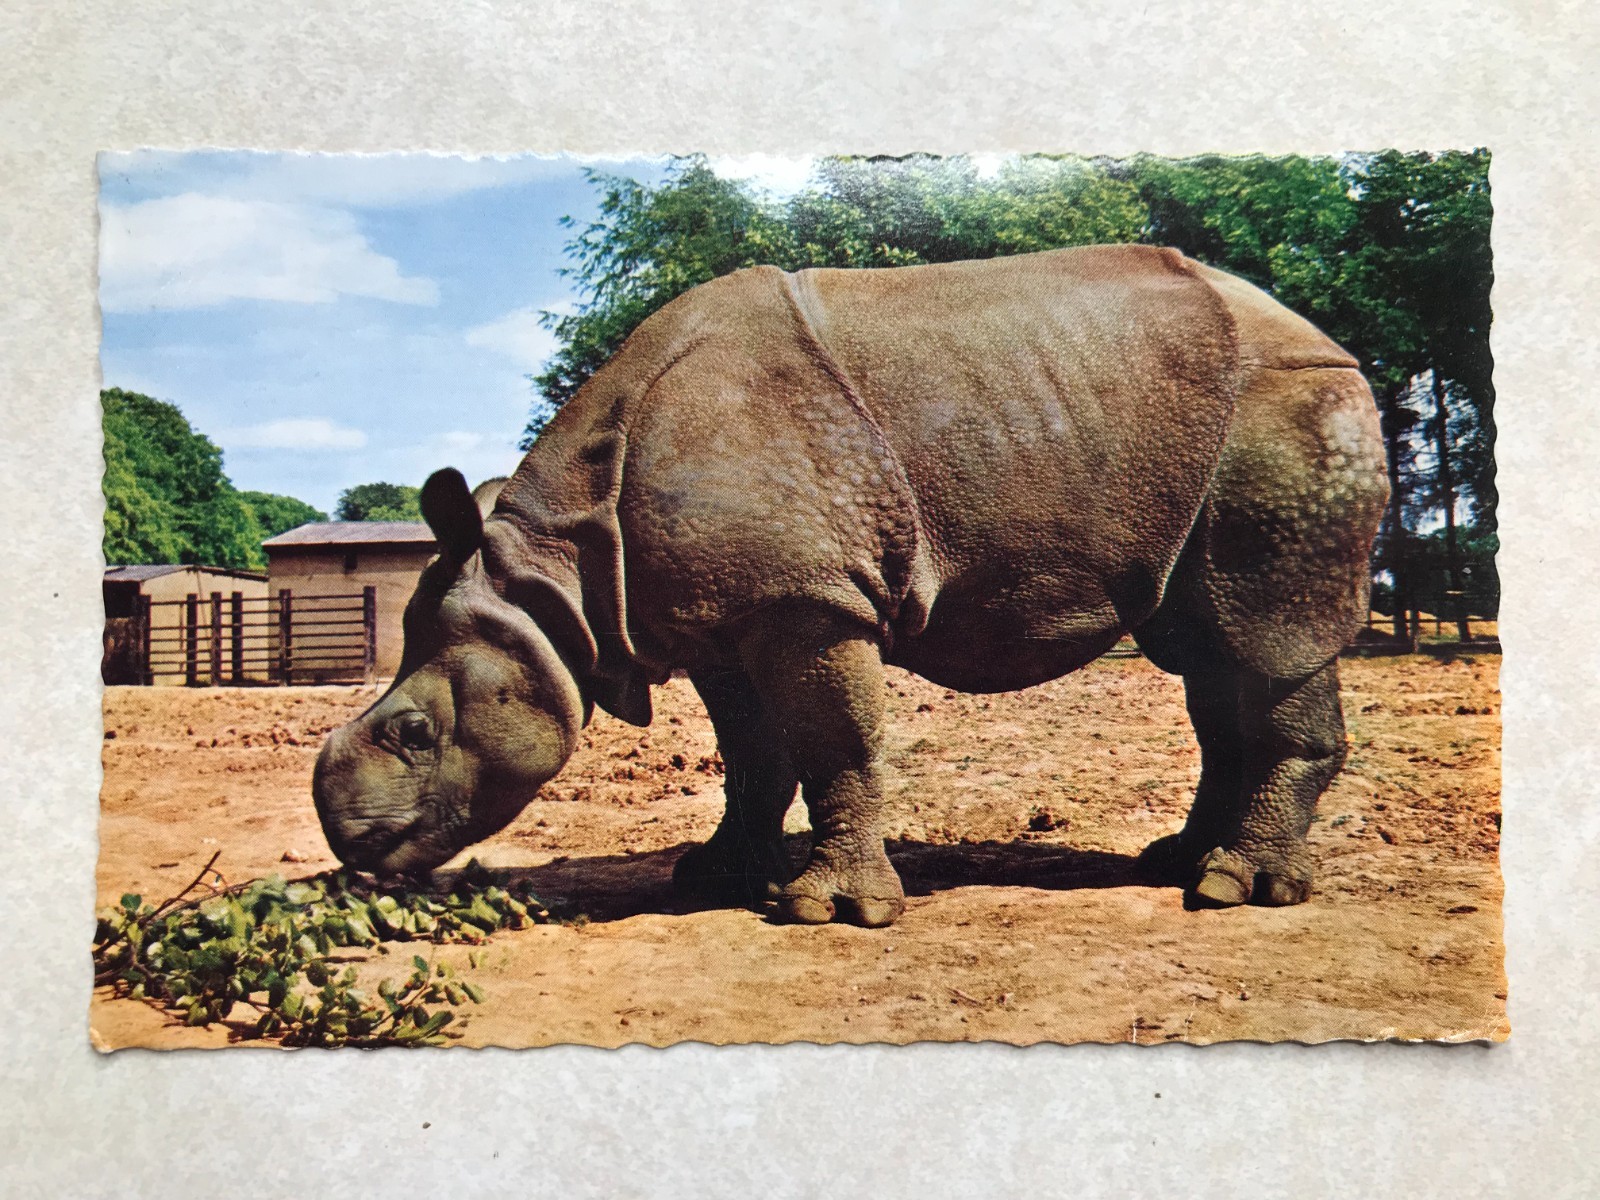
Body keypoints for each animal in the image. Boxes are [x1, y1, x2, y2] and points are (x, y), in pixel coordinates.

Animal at [313, 244, 1389, 927]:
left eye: (413, 735)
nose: (348, 844)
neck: (557, 570)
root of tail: (1323, 337)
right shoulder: (722, 614)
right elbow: (751, 757)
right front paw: (711, 877)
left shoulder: (807, 600)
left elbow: (832, 744)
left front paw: (827, 911)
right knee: (1206, 651)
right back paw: (1176, 863)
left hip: (1286, 408)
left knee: (1263, 636)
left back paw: (1236, 890)